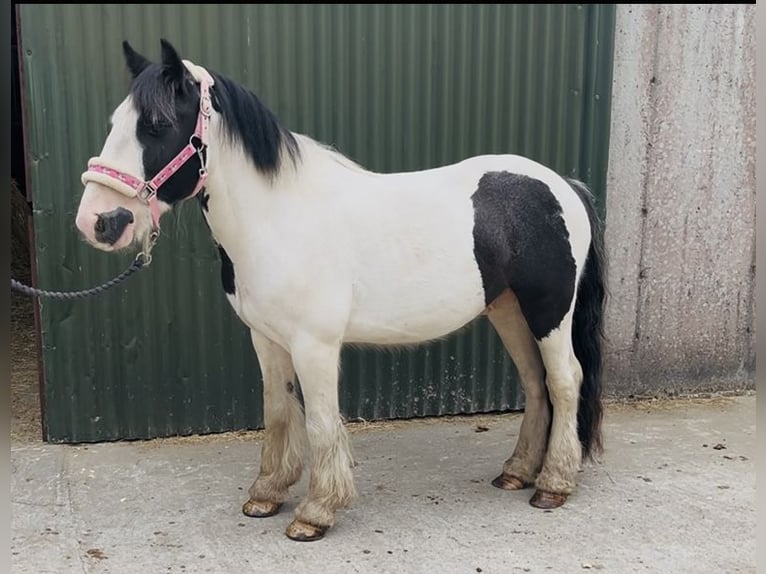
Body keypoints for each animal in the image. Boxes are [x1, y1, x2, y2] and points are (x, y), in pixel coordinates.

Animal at [75, 39, 606, 542]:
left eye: (158, 124)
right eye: (117, 121)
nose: (99, 221)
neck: (279, 218)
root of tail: (564, 185)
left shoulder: (315, 345)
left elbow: (319, 423)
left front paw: (315, 513)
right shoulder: (266, 339)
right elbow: (277, 411)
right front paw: (266, 493)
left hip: (549, 310)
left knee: (565, 380)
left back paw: (553, 485)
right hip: (508, 309)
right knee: (535, 383)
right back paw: (517, 472)